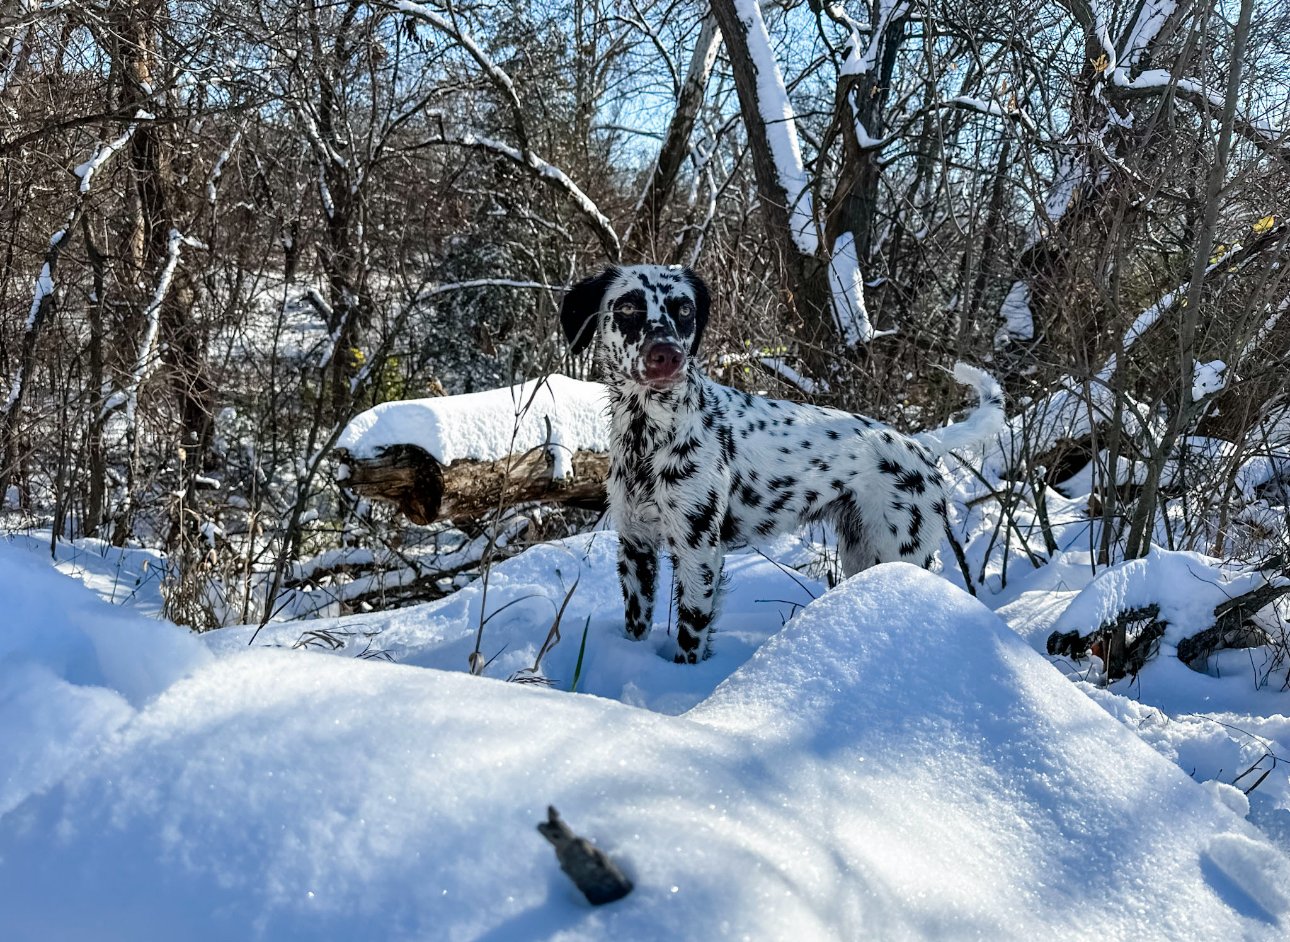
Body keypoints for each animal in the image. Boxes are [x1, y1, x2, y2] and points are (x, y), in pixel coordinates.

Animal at [565, 260, 1006, 665]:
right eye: (627, 306)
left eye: (684, 309)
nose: (667, 355)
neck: (649, 438)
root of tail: (919, 443)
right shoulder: (635, 545)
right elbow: (637, 622)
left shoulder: (697, 552)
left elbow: (690, 637)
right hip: (861, 554)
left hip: (899, 551)